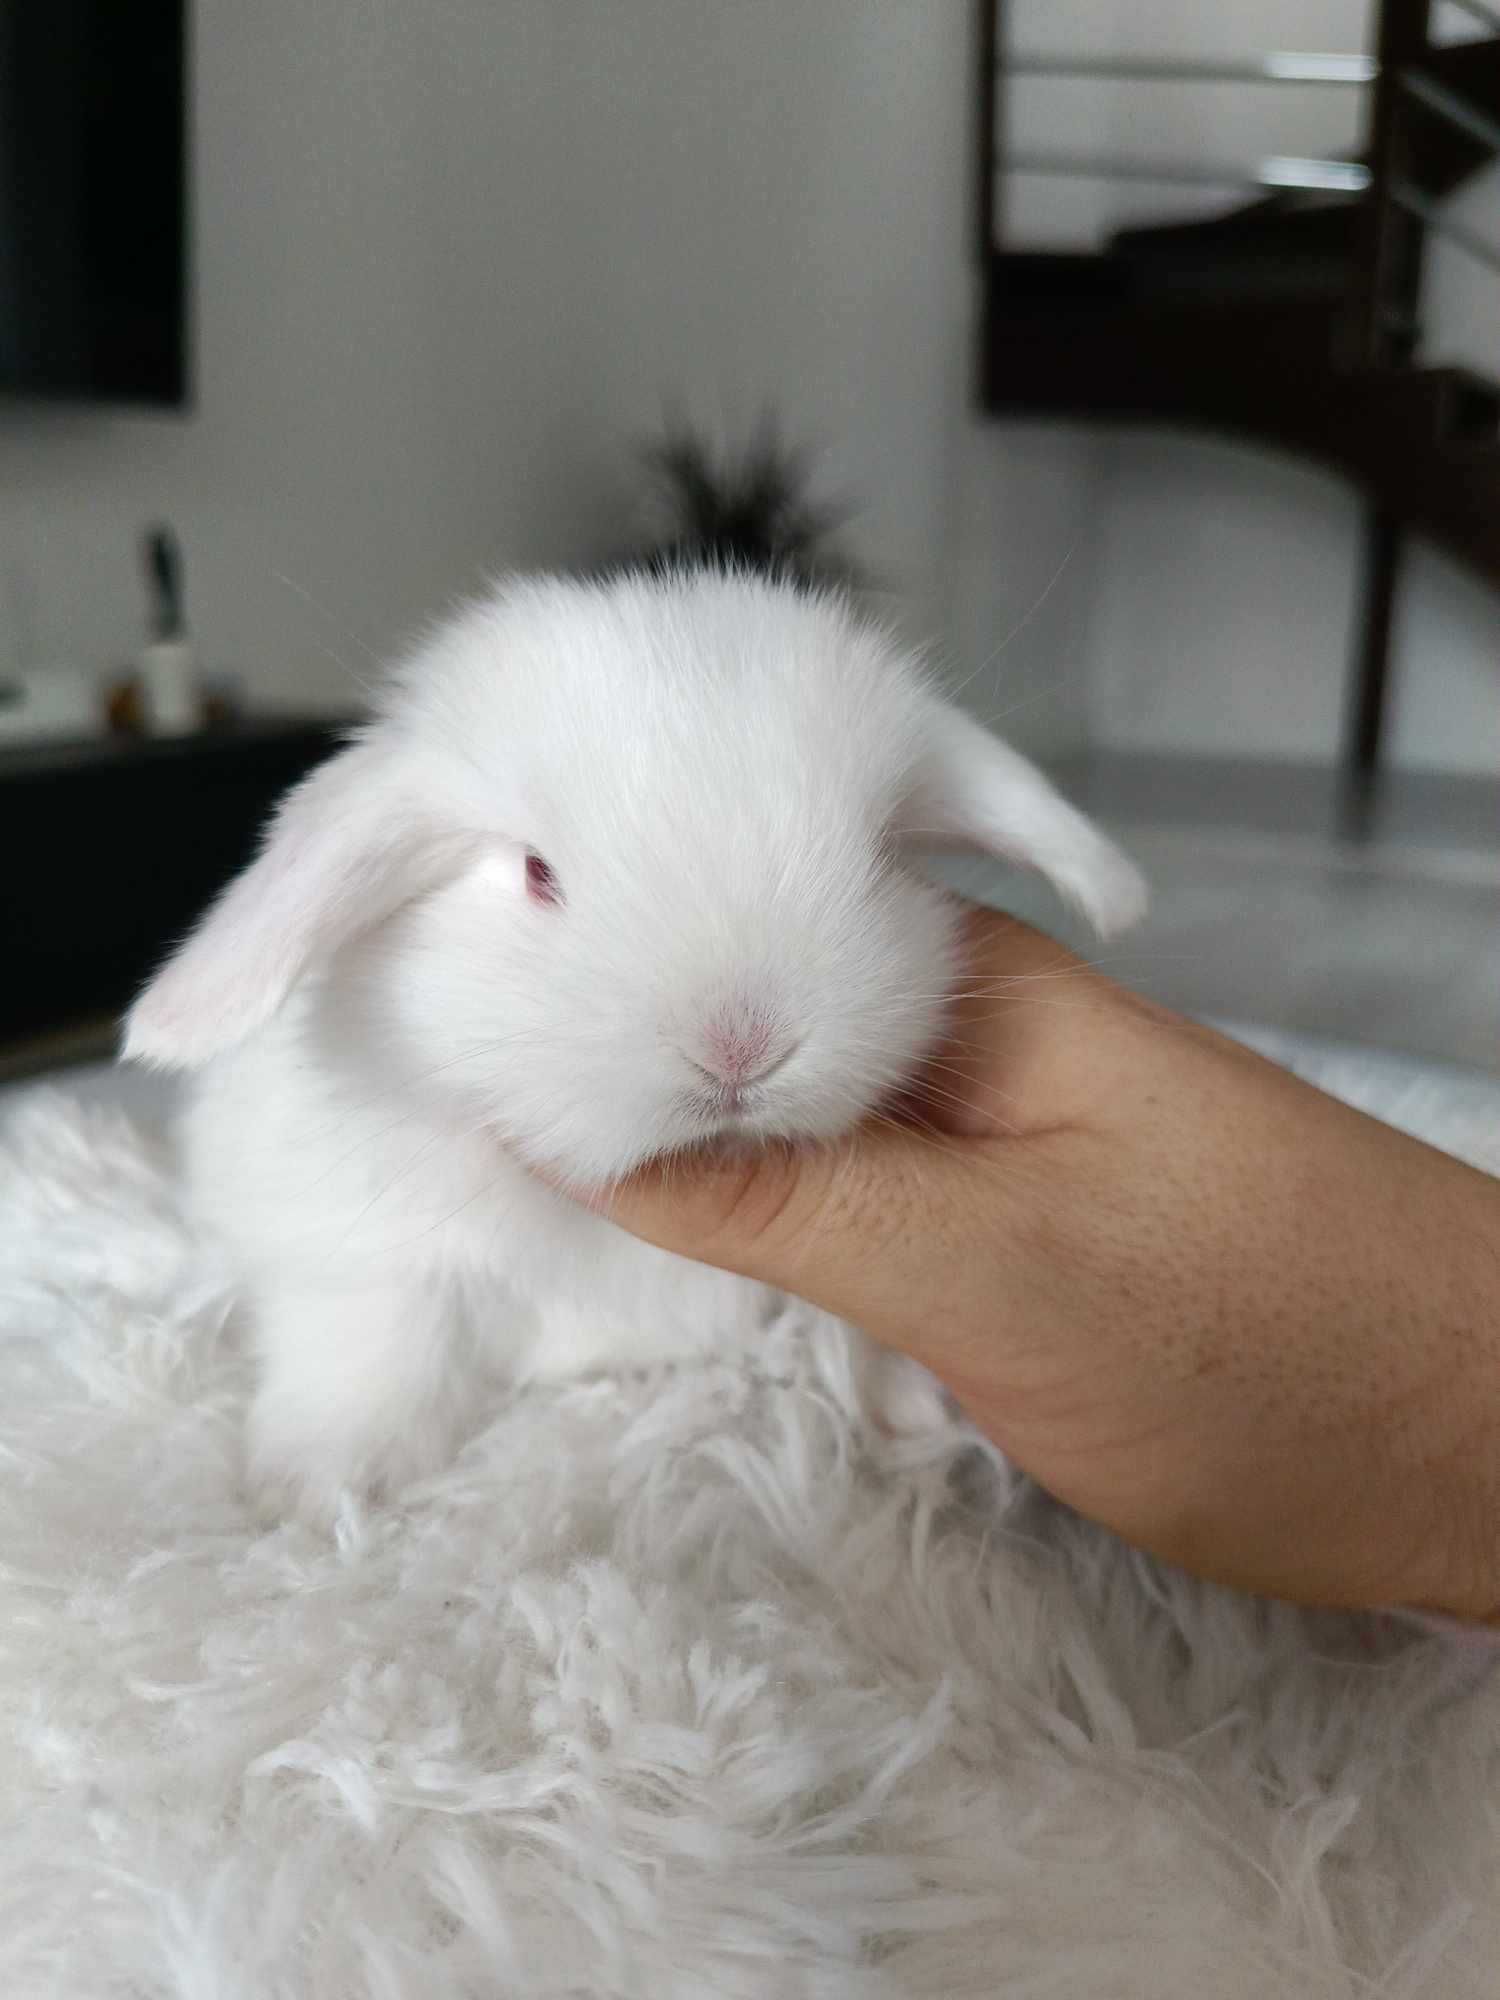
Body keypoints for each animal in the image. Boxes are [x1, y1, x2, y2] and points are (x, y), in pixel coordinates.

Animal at [126, 572, 1152, 1520]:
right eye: (537, 874)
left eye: (879, 860)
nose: (740, 1046)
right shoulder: (363, 1247)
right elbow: (379, 1338)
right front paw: (321, 1489)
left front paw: (912, 1412)